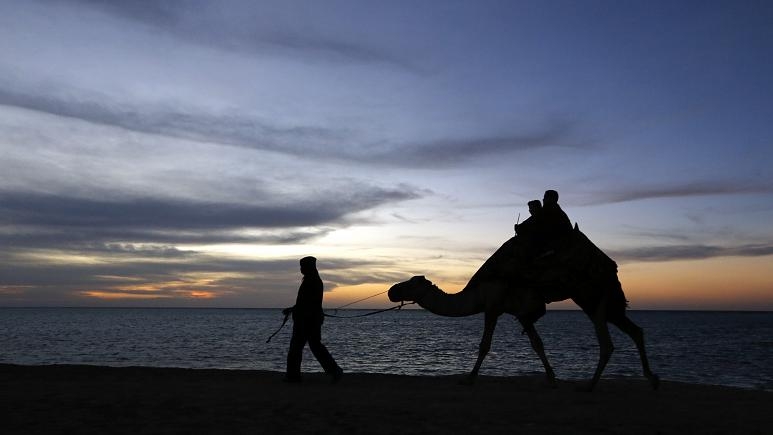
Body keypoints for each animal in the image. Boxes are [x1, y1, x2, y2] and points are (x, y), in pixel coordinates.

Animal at [390, 227, 660, 394]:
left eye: (410, 283)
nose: (392, 290)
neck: (478, 292)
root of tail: (610, 268)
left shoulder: (493, 306)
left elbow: (485, 345)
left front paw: (469, 378)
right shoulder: (522, 313)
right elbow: (537, 343)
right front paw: (551, 379)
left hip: (590, 297)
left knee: (607, 342)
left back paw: (589, 386)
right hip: (608, 302)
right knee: (635, 330)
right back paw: (652, 378)